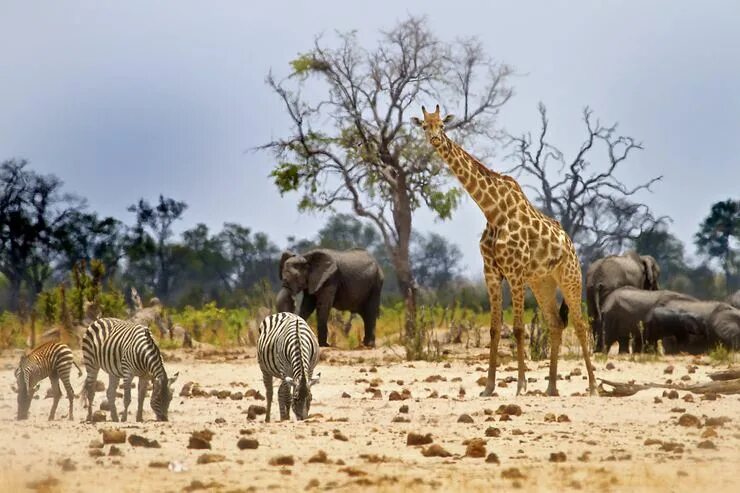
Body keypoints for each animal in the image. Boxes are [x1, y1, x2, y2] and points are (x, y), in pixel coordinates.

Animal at [414, 104, 600, 396]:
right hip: (542, 282)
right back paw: (551, 387)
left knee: (580, 325)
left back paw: (592, 386)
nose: (434, 139)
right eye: (424, 125)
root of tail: (570, 243)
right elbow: (494, 329)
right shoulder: (491, 273)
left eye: (442, 125)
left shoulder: (514, 272)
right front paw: (489, 387)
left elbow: (518, 328)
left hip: (570, 277)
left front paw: (521, 385)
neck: (492, 211)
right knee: (555, 324)